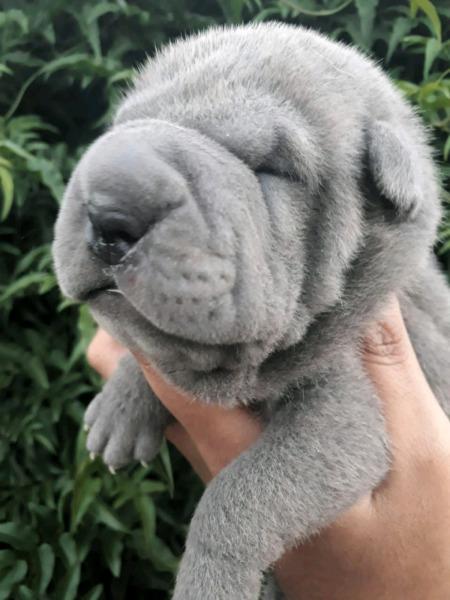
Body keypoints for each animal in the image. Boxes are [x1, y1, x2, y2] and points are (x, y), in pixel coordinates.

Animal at [51, 21, 450, 600]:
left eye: (271, 169)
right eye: (126, 125)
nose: (110, 210)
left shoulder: (344, 419)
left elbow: (239, 497)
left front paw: (208, 582)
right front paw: (121, 406)